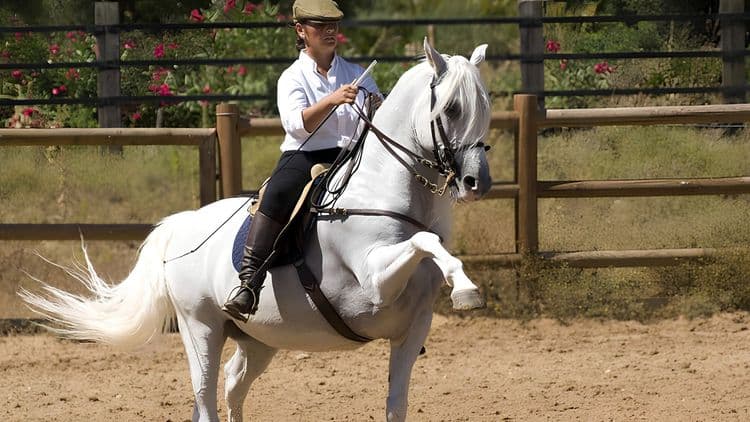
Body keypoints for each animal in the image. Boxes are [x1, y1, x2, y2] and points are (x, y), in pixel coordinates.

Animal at [20, 39, 493, 422]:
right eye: (452, 108)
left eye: (485, 106)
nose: (477, 183)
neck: (381, 191)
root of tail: (180, 227)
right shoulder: (376, 280)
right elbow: (424, 240)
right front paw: (467, 289)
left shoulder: (412, 331)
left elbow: (397, 404)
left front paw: (462, 286)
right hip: (201, 331)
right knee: (206, 398)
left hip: (258, 340)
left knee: (231, 387)